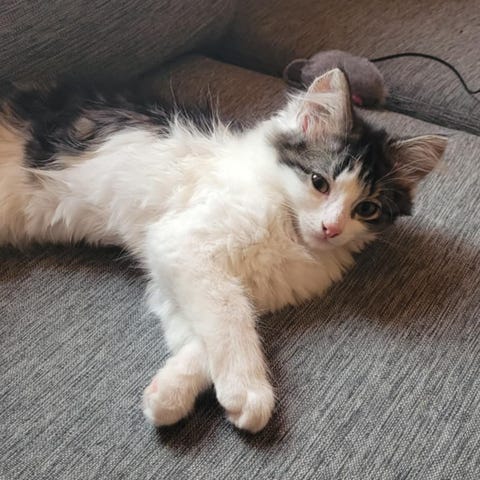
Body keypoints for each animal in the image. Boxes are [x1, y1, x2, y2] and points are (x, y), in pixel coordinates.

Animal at [0, 69, 446, 433]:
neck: (289, 231)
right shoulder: (183, 243)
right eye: (320, 182)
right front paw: (249, 390)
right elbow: (231, 317)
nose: (331, 228)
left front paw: (169, 395)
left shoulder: (183, 276)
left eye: (366, 208)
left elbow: (203, 337)